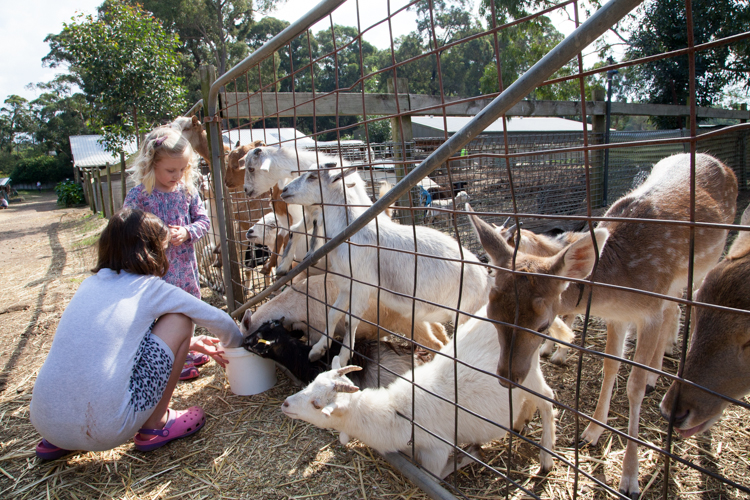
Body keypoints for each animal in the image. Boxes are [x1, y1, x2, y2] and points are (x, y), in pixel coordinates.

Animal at [282, 167, 494, 364]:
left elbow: (350, 321)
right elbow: (333, 313)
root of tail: (487, 279)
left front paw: (341, 359)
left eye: (312, 176)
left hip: (469, 311)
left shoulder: (362, 287)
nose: (283, 190)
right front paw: (318, 349)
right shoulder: (347, 286)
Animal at [282, 304, 560, 480]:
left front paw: (470, 455)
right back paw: (521, 422)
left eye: (317, 404)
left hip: (528, 373)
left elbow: (436, 475)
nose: (285, 404)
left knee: (548, 399)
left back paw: (546, 458)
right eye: (312, 383)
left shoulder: (437, 451)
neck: (396, 413)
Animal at [470, 153, 740, 500]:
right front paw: (592, 431)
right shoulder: (619, 316)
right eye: (492, 315)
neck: (621, 282)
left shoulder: (648, 310)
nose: (507, 377)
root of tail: (720, 162)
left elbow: (633, 386)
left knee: (685, 306)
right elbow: (610, 366)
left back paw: (659, 370)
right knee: (674, 307)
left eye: (543, 325)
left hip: (706, 263)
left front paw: (630, 479)